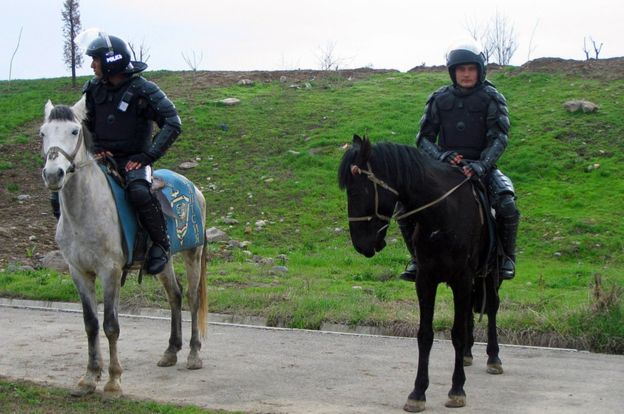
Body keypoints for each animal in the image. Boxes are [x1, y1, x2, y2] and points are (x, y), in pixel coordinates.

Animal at [338, 135, 504, 410]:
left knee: (490, 307)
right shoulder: (426, 280)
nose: (361, 245)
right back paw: (468, 355)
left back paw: (493, 357)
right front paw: (418, 392)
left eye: (358, 190)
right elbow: (425, 335)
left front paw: (457, 389)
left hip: (489, 273)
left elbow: (457, 333)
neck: (442, 215)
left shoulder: (461, 278)